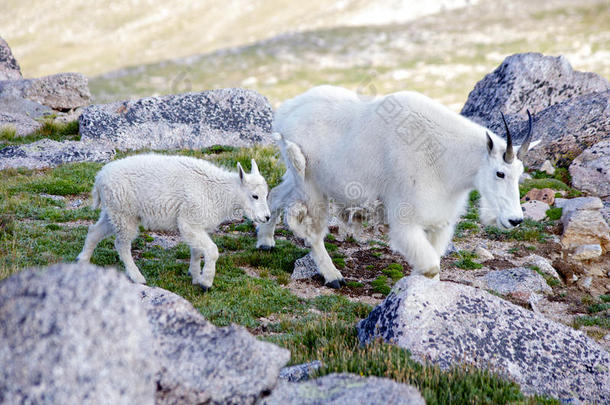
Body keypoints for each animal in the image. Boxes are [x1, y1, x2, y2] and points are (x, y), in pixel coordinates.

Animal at [256, 85, 536, 288]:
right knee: (313, 233)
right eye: (500, 173)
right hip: (310, 182)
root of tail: (283, 115)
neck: (444, 157)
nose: (515, 220)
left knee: (277, 195)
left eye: (520, 174)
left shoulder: (440, 221)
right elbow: (431, 266)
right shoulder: (406, 219)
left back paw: (265, 240)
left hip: (298, 177)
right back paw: (333, 276)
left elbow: (433, 265)